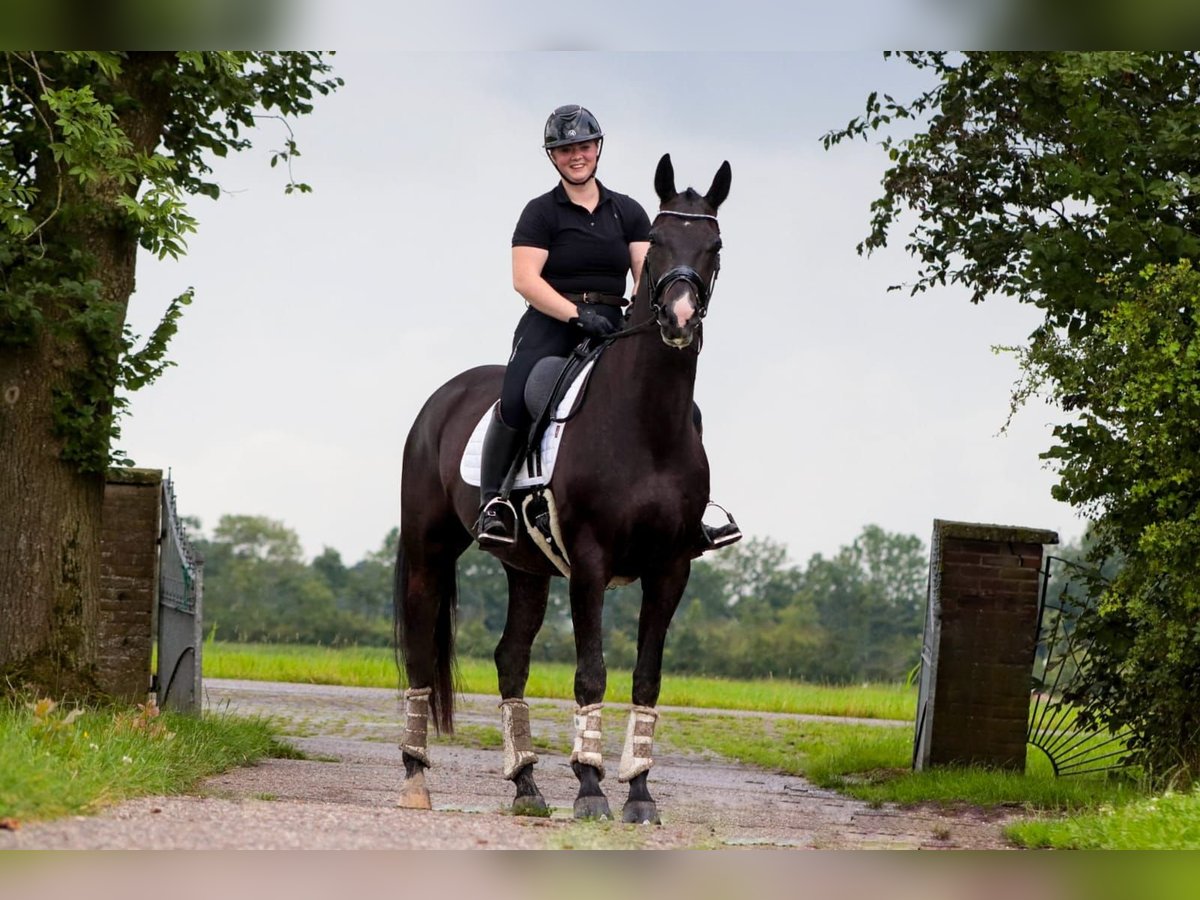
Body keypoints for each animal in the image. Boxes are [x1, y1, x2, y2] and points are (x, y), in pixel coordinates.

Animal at [396, 154, 729, 825]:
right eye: (657, 241)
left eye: (715, 246)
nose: (679, 319)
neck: (645, 424)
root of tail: (443, 398)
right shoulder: (591, 564)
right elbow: (591, 672)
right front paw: (591, 788)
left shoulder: (671, 568)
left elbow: (646, 677)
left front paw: (640, 793)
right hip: (427, 553)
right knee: (420, 653)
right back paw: (417, 777)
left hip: (525, 568)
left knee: (510, 659)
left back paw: (525, 784)